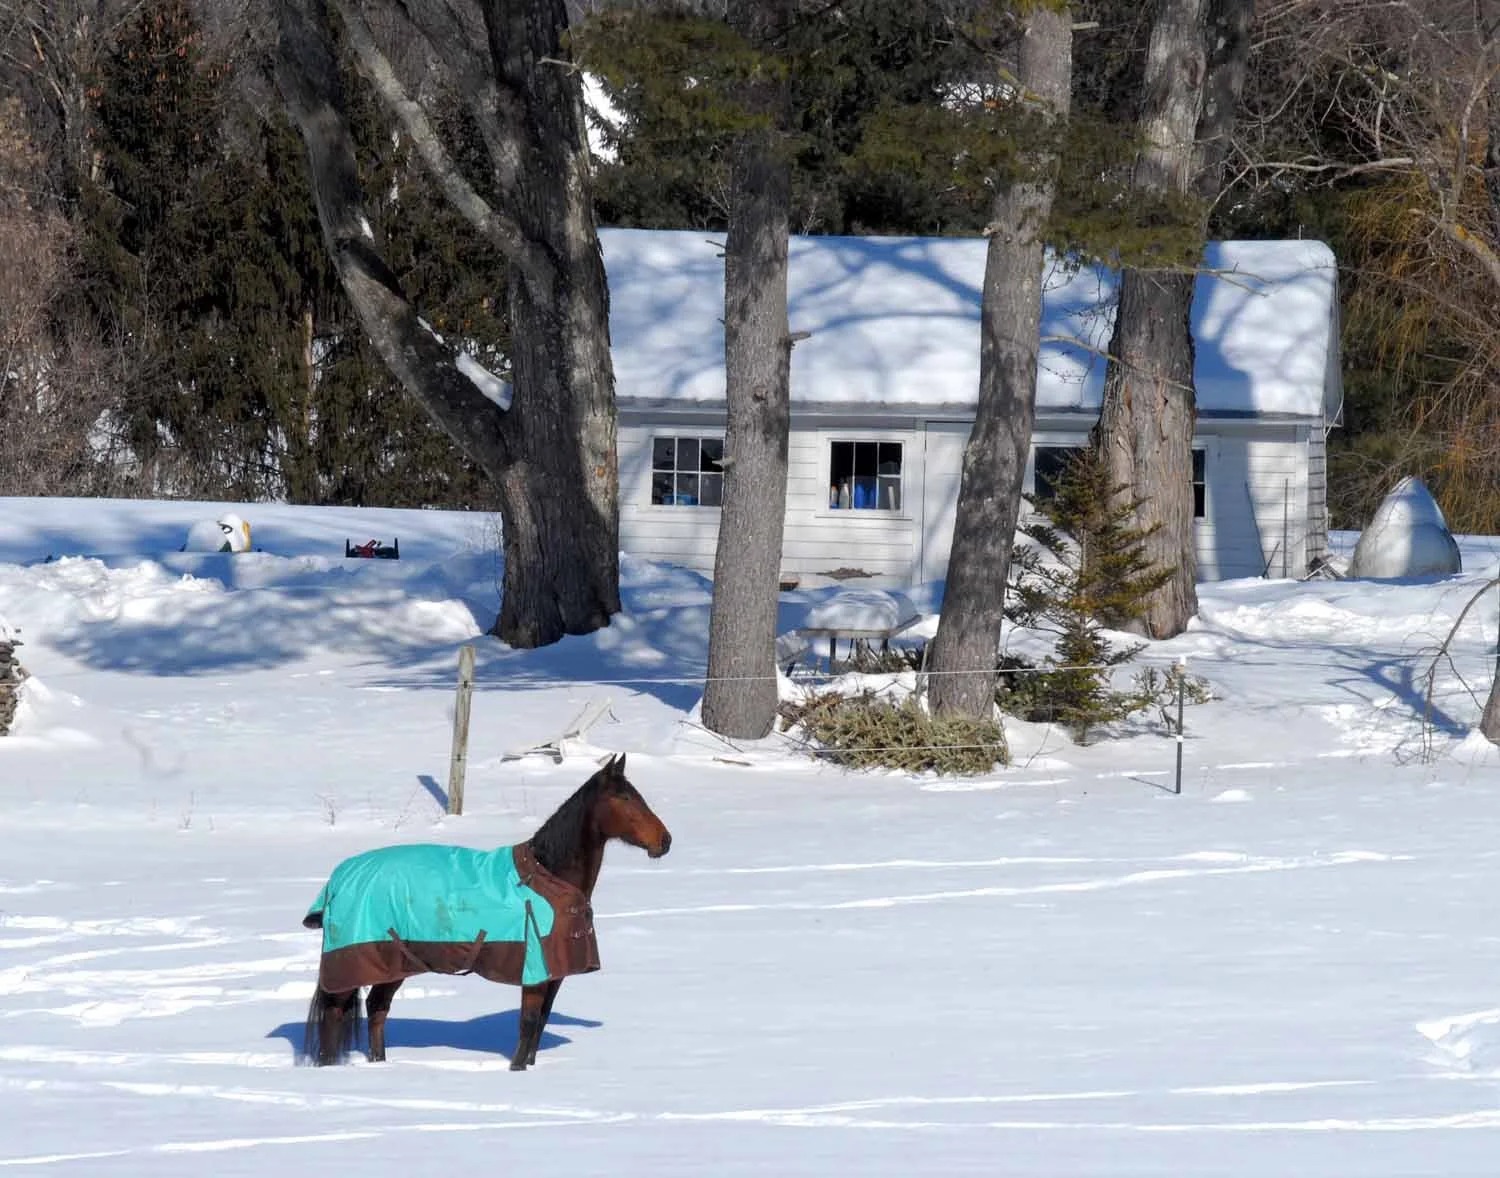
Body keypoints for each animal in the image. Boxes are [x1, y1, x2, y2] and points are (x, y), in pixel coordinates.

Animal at [300, 753, 671, 1071]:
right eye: (624, 798)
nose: (664, 841)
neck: (549, 875)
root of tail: (339, 878)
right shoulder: (534, 973)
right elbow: (528, 1025)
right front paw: (517, 1070)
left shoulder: (554, 974)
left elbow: (539, 1025)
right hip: (353, 965)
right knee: (335, 1014)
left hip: (394, 964)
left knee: (377, 1009)